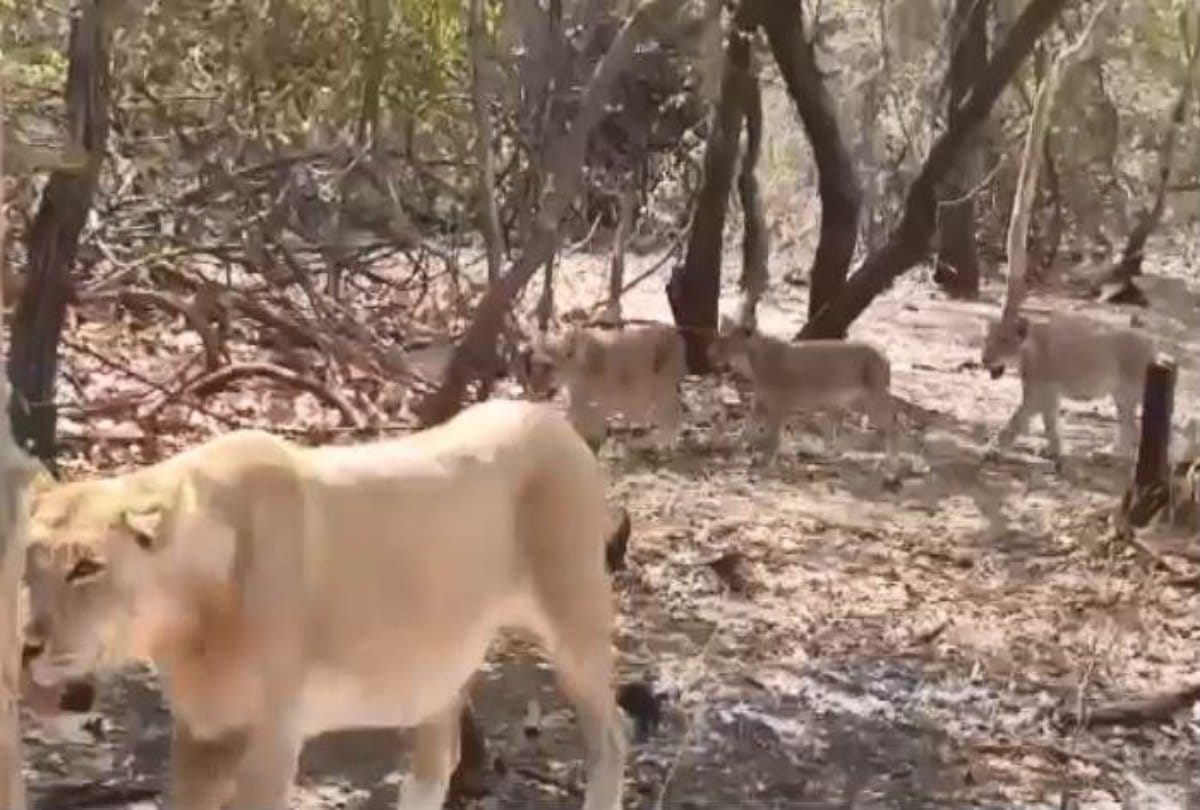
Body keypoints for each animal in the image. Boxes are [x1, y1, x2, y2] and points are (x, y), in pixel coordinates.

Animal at [22, 399, 625, 810]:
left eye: (86, 567)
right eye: (28, 561)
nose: (26, 645)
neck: (187, 621)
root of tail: (548, 414)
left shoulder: (270, 742)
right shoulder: (201, 736)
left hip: (575, 623)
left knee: (611, 733)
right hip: (437, 665)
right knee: (439, 756)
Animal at [980, 311, 1155, 463]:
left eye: (1003, 339)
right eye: (986, 339)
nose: (984, 359)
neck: (1025, 355)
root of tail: (1149, 340)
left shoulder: (1041, 393)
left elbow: (1016, 420)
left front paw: (993, 450)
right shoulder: (1047, 394)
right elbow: (1049, 422)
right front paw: (1054, 451)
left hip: (1131, 392)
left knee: (1132, 427)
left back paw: (1114, 457)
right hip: (1121, 395)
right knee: (1126, 425)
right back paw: (1106, 453)